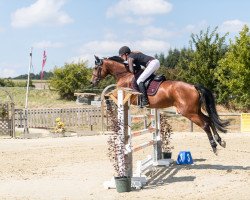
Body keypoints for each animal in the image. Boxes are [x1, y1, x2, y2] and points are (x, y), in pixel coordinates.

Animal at [91, 55, 229, 154]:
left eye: (95, 68)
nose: (92, 82)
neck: (125, 74)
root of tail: (193, 86)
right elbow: (107, 94)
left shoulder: (125, 94)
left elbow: (107, 95)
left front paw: (109, 105)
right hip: (195, 111)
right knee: (209, 119)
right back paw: (220, 141)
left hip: (189, 112)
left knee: (205, 124)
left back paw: (214, 146)